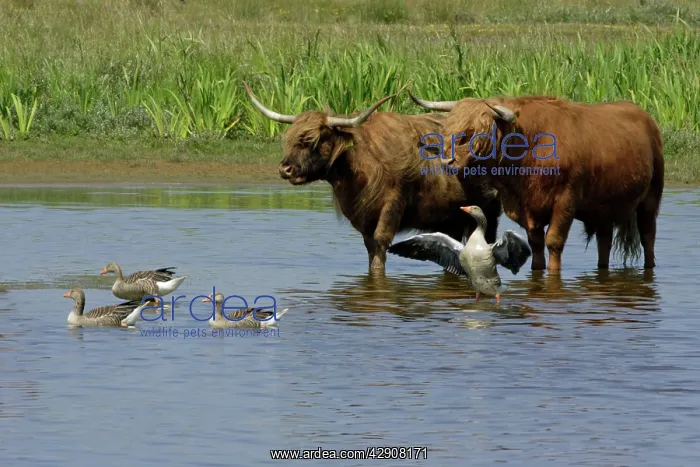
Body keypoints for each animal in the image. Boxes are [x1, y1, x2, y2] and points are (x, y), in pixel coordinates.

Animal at [244, 82, 503, 273]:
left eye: (314, 141)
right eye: (289, 139)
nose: (285, 168)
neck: (360, 168)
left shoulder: (393, 203)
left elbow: (380, 243)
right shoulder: (362, 217)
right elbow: (370, 247)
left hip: (488, 210)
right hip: (450, 215)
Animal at [408, 91, 664, 273]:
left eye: (472, 132)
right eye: (447, 129)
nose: (447, 161)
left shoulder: (565, 201)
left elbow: (554, 242)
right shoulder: (527, 209)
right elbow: (536, 243)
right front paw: (537, 270)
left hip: (651, 198)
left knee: (648, 236)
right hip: (604, 207)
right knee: (604, 241)